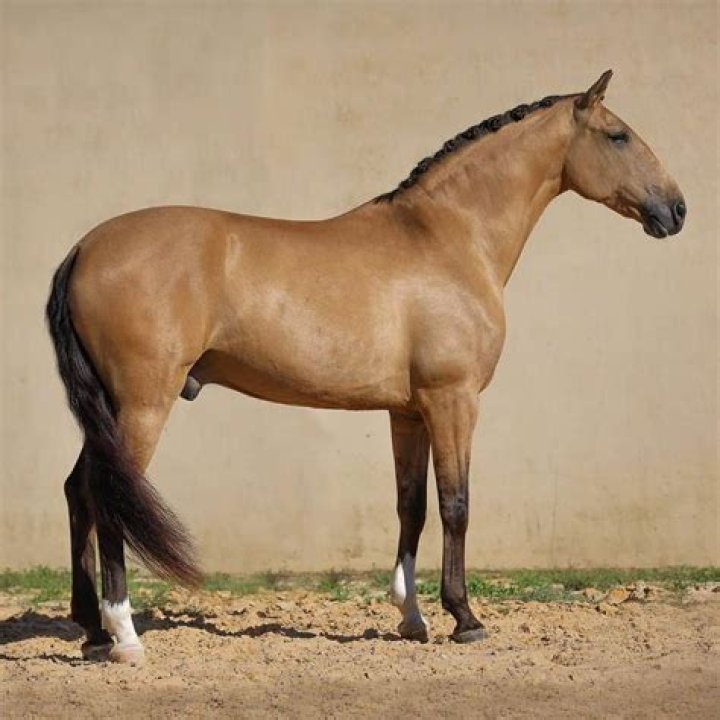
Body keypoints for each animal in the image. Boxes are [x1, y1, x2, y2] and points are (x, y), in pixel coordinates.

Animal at [46, 71, 686, 665]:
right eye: (618, 135)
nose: (676, 209)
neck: (448, 238)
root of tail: (83, 248)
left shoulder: (408, 412)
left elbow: (412, 506)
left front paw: (412, 617)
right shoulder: (454, 400)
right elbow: (456, 503)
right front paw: (465, 617)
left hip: (111, 410)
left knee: (79, 488)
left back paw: (93, 631)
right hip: (142, 405)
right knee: (107, 495)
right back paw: (124, 637)